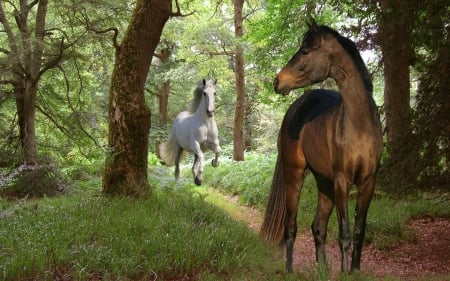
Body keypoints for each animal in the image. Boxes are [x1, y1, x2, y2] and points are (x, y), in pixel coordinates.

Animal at [260, 18, 384, 272]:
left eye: (305, 51)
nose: (278, 81)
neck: (360, 125)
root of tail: (296, 107)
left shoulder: (368, 182)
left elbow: (359, 231)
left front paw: (354, 271)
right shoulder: (342, 181)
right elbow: (345, 234)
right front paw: (345, 273)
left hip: (324, 182)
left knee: (318, 227)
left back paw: (323, 271)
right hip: (295, 176)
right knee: (290, 226)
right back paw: (289, 270)